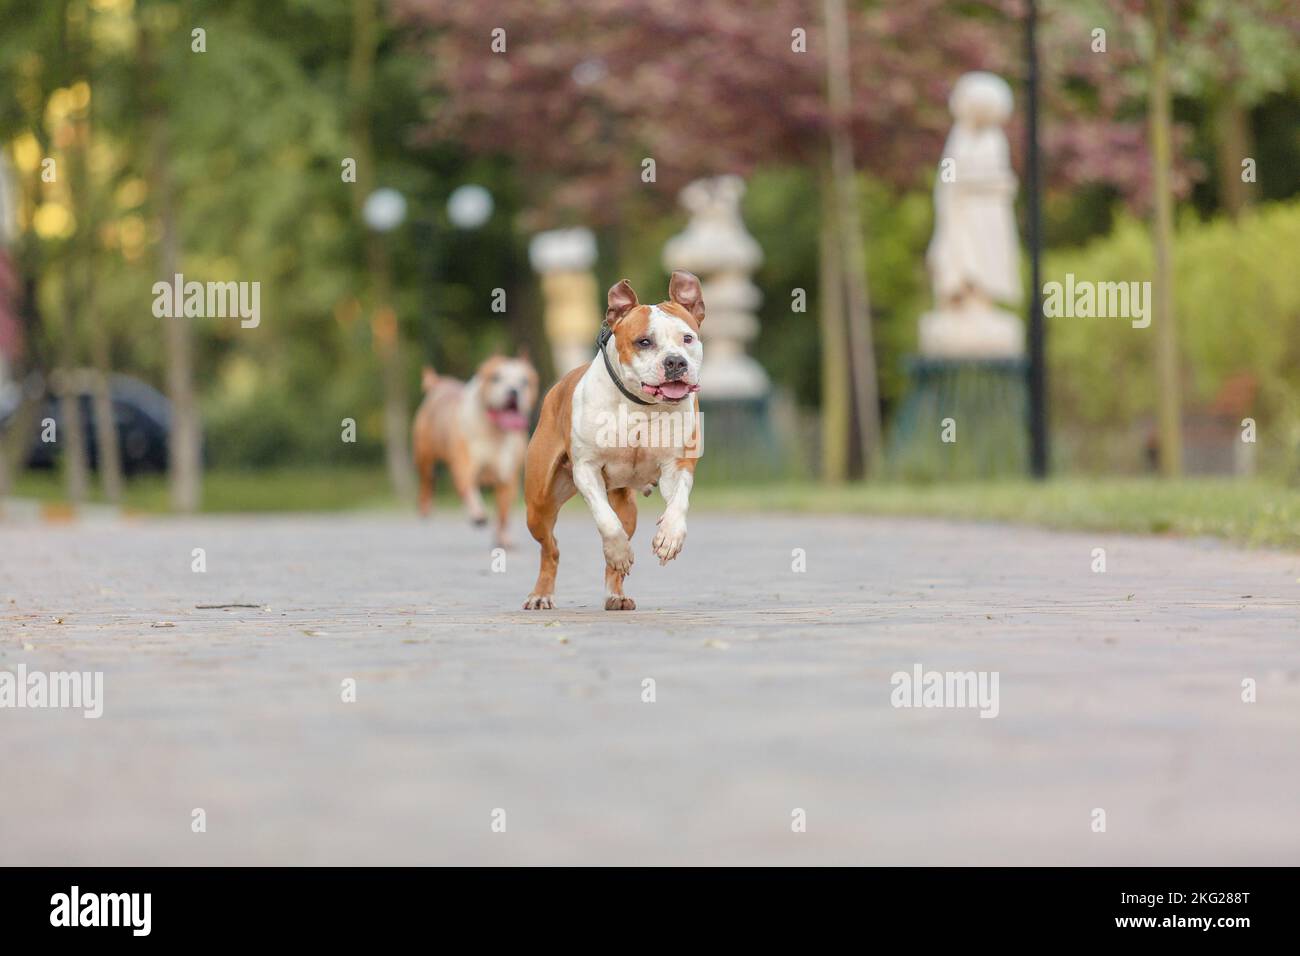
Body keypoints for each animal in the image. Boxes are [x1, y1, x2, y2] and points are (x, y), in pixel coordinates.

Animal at [416, 351, 538, 546]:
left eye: (525, 381)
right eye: (496, 377)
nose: (513, 390)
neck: (495, 432)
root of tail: (441, 384)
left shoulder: (508, 478)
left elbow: (503, 513)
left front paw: (503, 538)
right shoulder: (464, 466)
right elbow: (469, 489)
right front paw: (478, 513)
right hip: (425, 457)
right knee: (427, 482)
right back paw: (425, 508)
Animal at [520, 270, 707, 613]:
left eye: (687, 338)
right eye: (644, 341)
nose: (675, 362)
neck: (641, 405)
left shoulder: (678, 465)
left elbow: (679, 502)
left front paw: (669, 537)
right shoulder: (586, 469)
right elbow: (606, 522)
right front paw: (620, 551)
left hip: (627, 507)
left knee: (616, 542)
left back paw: (616, 595)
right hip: (538, 504)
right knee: (550, 547)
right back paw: (541, 594)